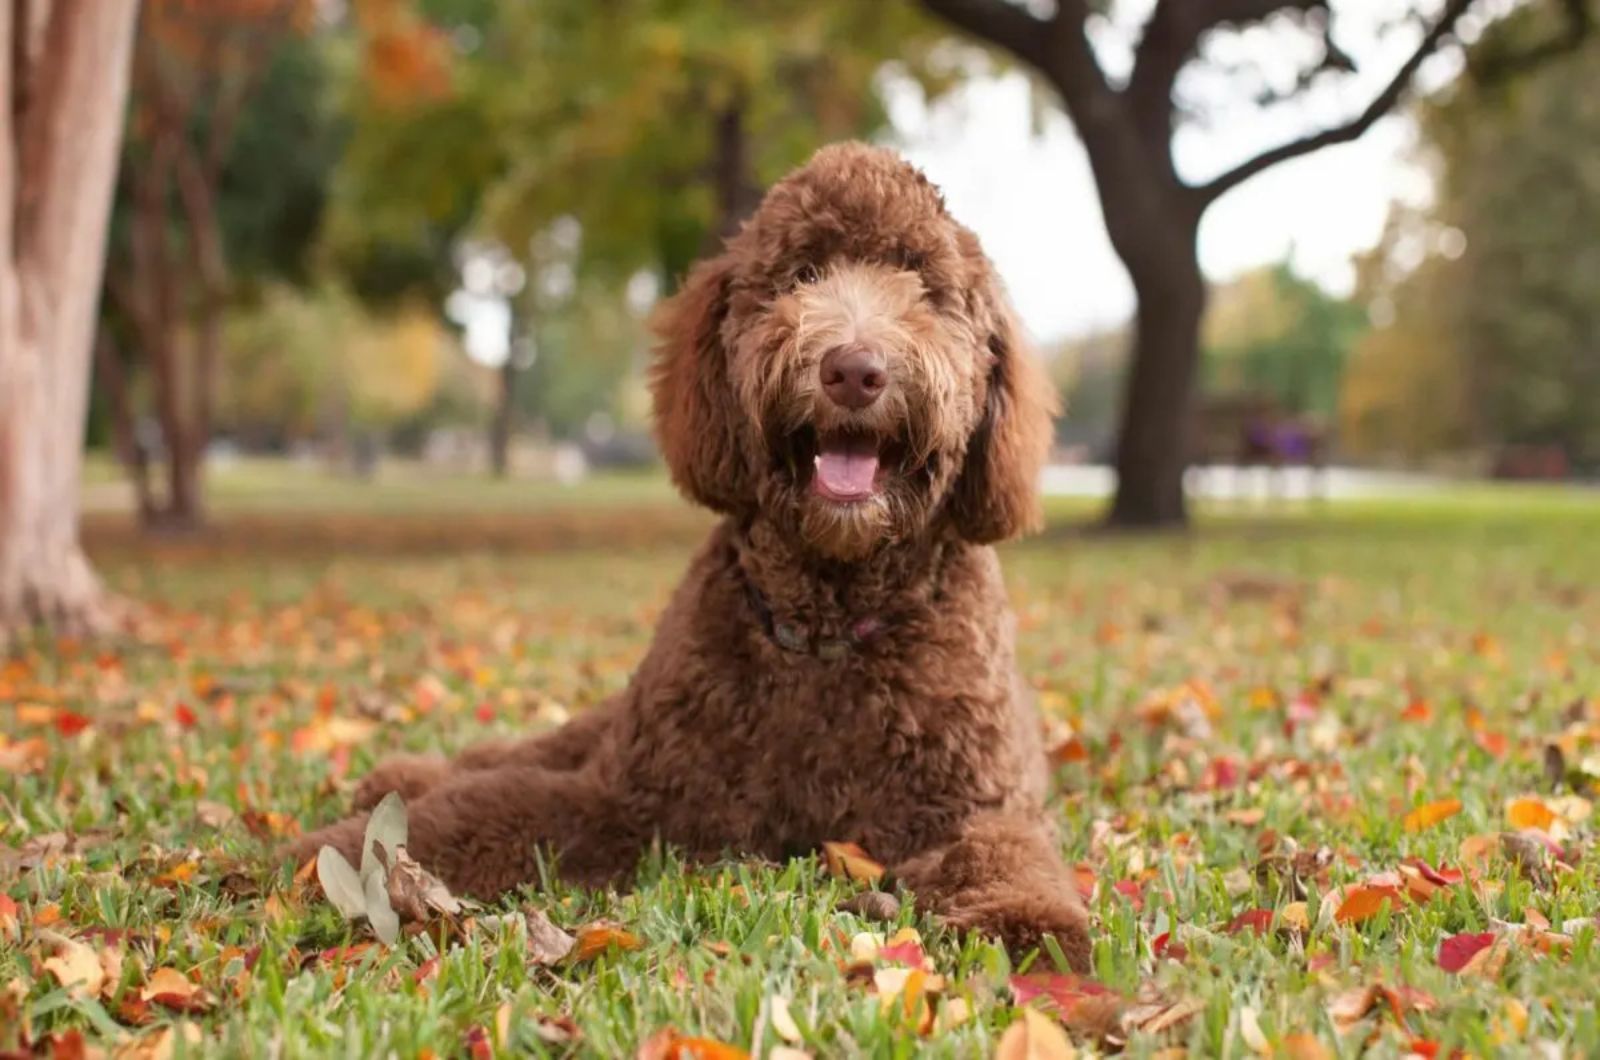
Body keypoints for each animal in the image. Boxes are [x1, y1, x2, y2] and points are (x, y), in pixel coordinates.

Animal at [291, 145, 1088, 973]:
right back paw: (402, 774)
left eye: (922, 286)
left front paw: (1029, 923)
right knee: (520, 754)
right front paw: (301, 859)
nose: (853, 370)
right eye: (801, 274)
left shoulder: (971, 803)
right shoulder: (632, 796)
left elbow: (1005, 850)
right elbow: (476, 810)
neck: (829, 632)